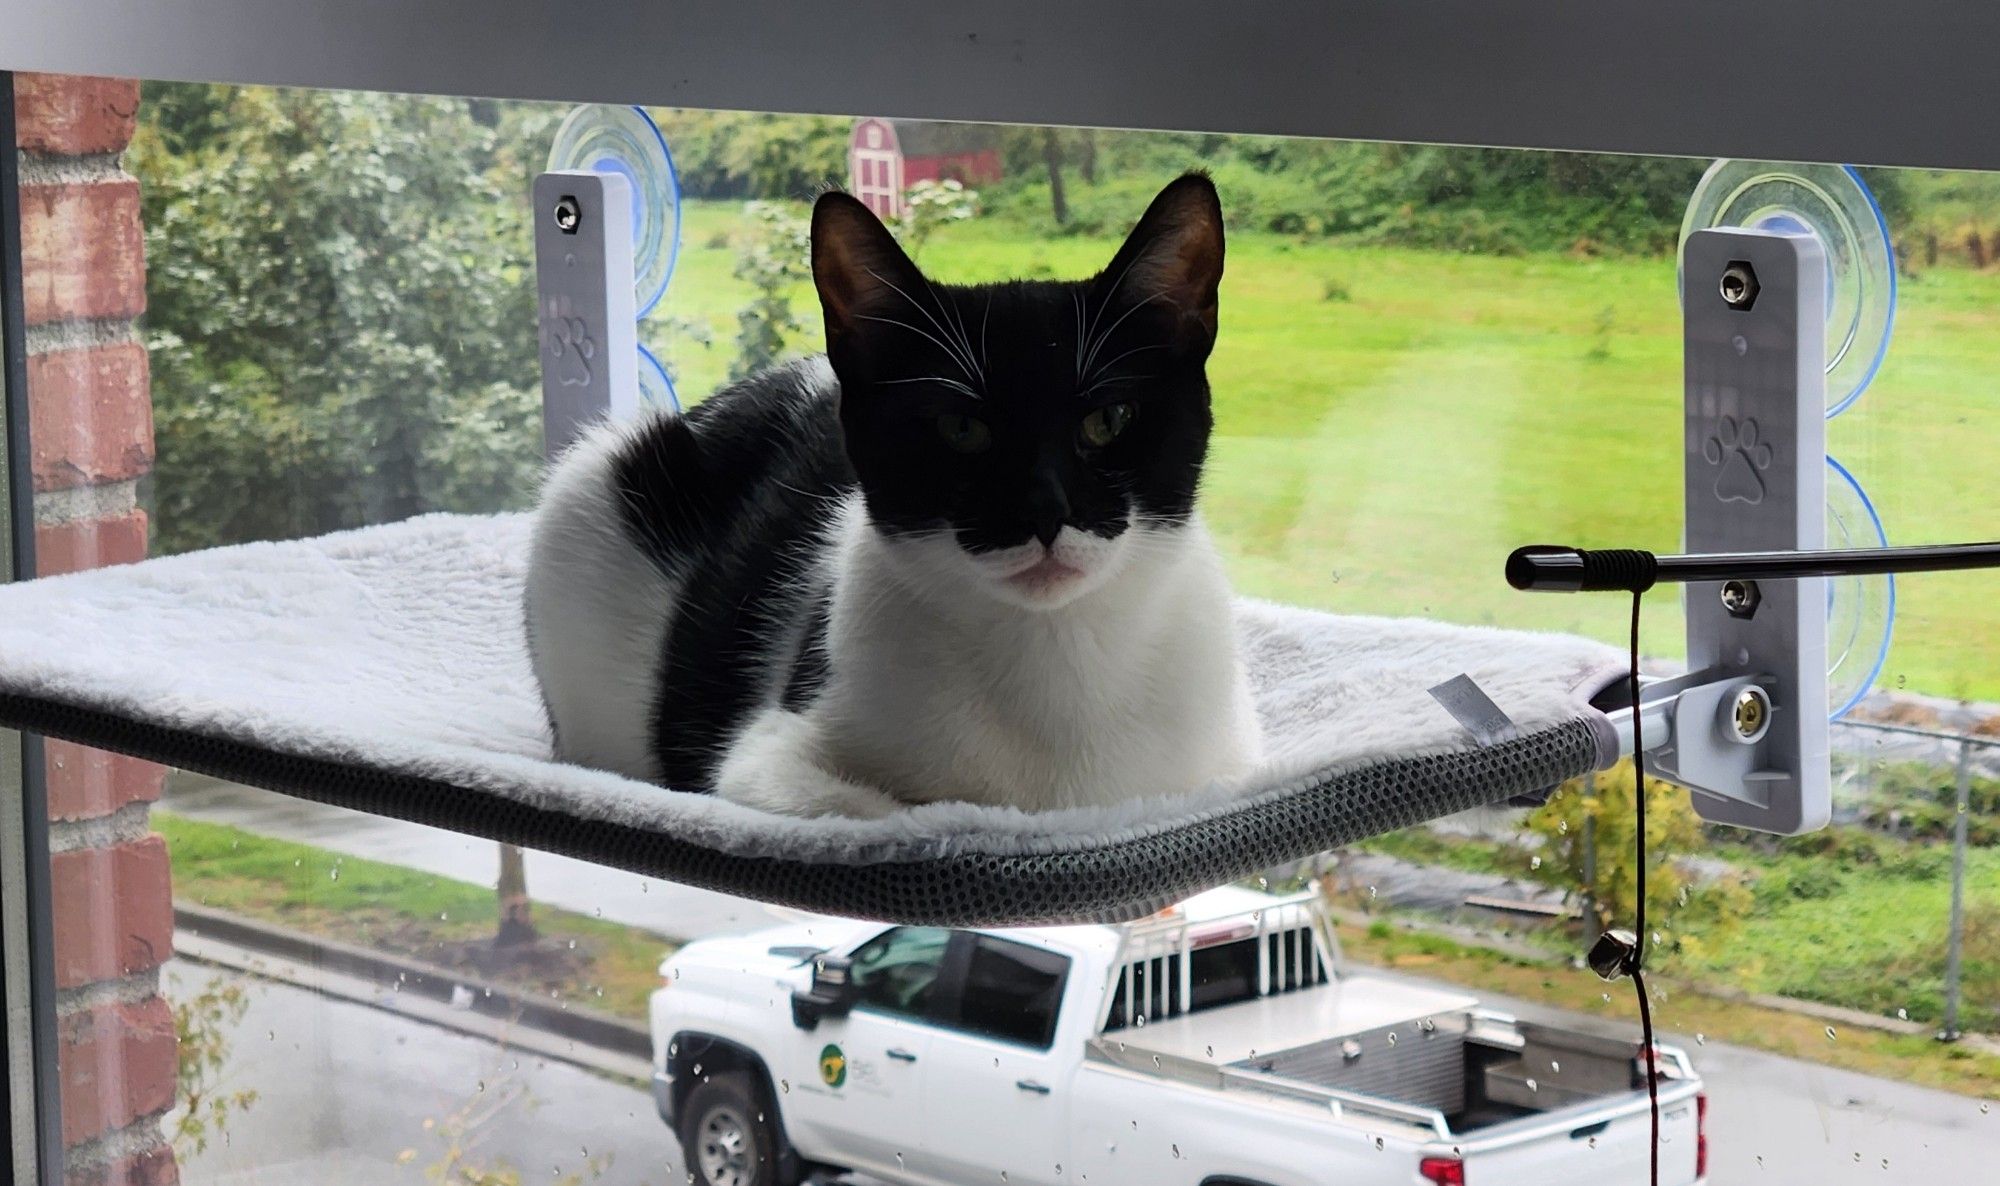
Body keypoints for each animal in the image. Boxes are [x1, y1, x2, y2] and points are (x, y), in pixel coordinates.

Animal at [524, 176, 1256, 820]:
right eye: (961, 429)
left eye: (1109, 420)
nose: (1044, 511)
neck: (1054, 650)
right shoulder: (766, 759)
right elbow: (901, 812)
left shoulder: (1227, 764)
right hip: (590, 489)